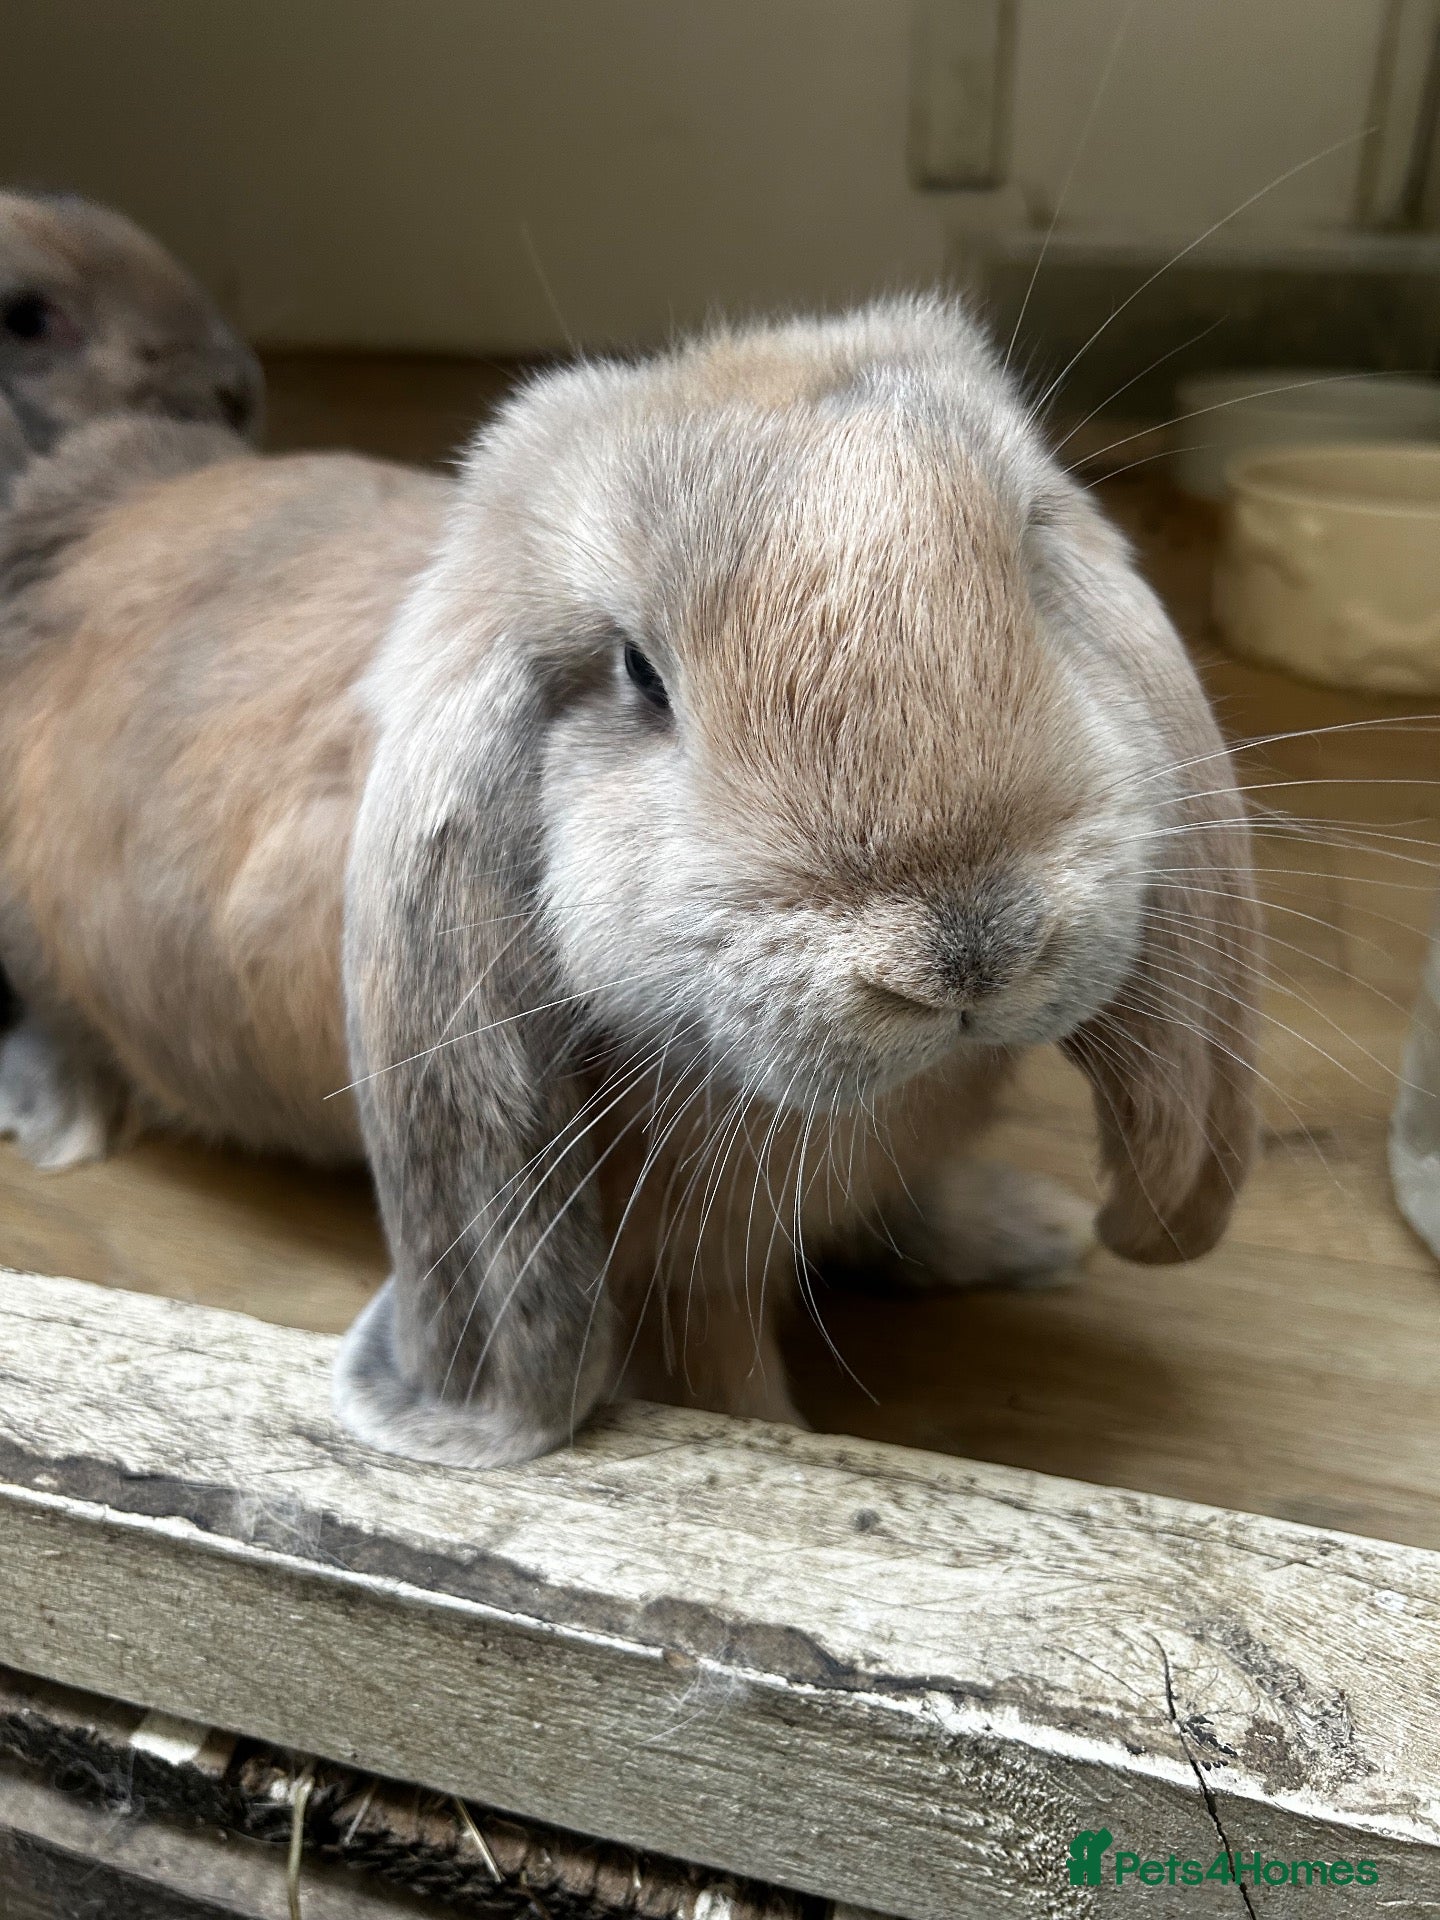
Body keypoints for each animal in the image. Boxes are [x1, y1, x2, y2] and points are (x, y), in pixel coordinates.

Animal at [0, 297, 1259, 1466]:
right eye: (638, 675)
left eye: (1032, 561)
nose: (970, 952)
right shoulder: (681, 1274)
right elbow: (725, 1385)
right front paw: (788, 1435)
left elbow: (912, 1208)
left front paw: (1032, 1235)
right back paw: (57, 1115)